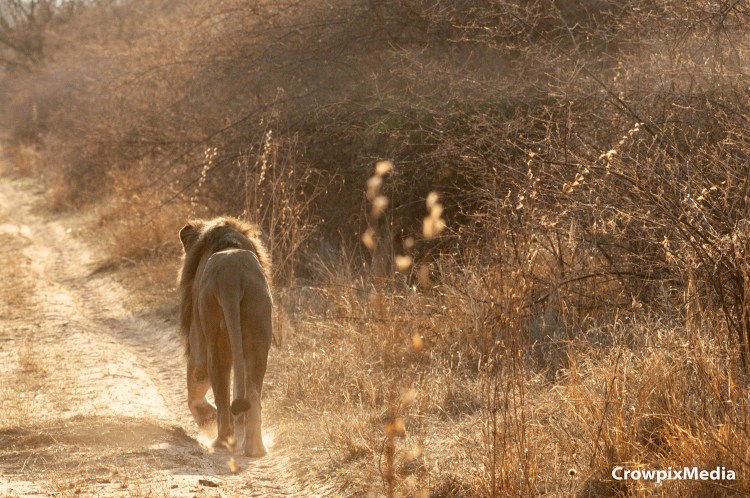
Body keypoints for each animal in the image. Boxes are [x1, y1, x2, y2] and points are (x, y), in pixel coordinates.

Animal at [178, 216, 273, 457]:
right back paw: (255, 448)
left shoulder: (197, 337)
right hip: (258, 328)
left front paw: (206, 418)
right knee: (252, 392)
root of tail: (232, 275)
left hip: (213, 331)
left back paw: (222, 441)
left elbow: (196, 381)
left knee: (219, 385)